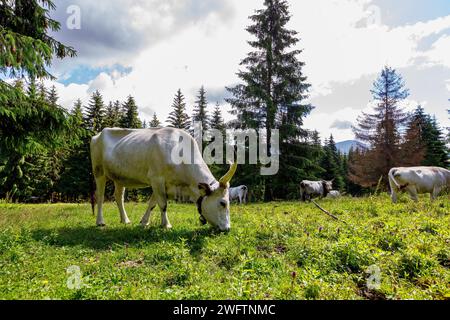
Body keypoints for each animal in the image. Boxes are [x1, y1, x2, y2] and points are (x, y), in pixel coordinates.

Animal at [91, 126, 239, 231]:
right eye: (223, 203)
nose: (227, 229)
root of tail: (98, 134)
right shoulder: (156, 178)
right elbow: (163, 204)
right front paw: (166, 225)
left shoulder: (164, 184)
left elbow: (152, 203)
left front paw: (144, 222)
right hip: (99, 171)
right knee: (100, 196)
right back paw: (100, 222)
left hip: (119, 177)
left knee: (119, 197)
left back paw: (125, 220)